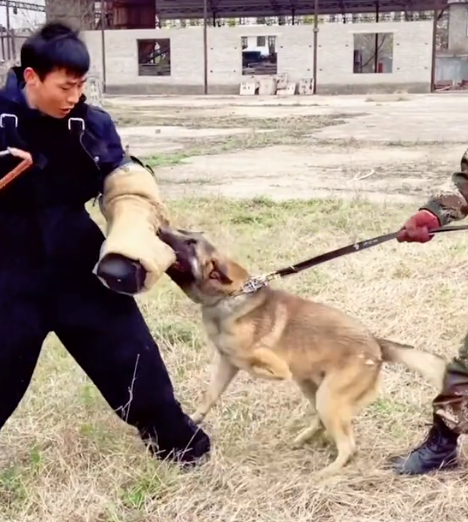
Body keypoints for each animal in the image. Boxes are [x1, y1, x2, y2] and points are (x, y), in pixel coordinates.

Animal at [156, 225, 446, 474]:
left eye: (191, 243)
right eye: (182, 232)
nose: (158, 229)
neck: (228, 298)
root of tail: (377, 344)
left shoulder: (255, 359)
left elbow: (263, 362)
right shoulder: (226, 363)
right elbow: (210, 396)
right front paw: (194, 418)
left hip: (328, 396)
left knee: (347, 445)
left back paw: (325, 474)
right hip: (313, 388)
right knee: (321, 421)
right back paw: (303, 439)